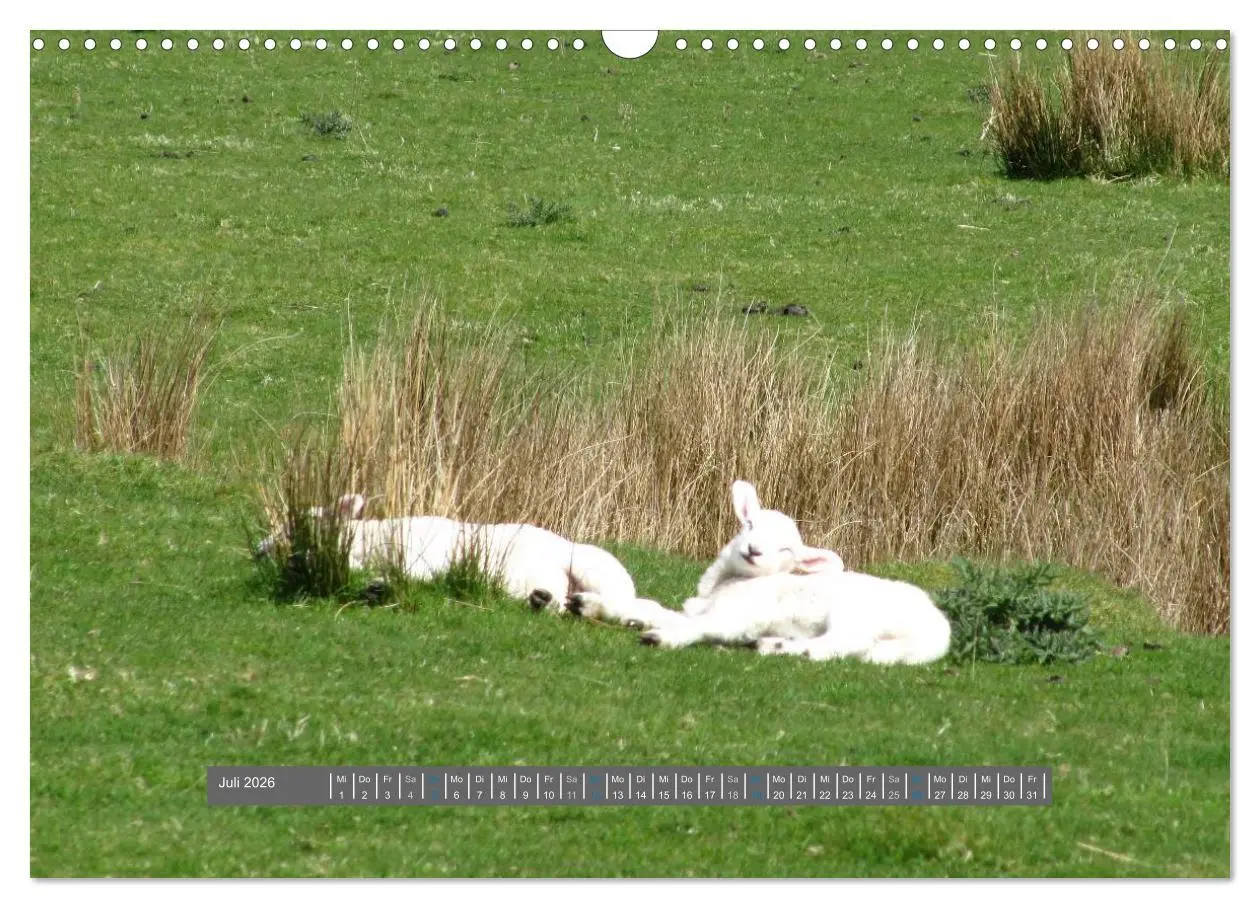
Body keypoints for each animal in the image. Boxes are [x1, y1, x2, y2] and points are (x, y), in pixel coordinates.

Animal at [639, 481, 952, 665]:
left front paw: (662, 637)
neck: (726, 583)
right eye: (749, 524)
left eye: (785, 550)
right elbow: (671, 612)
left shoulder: (743, 615)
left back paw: (787, 648)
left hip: (856, 615)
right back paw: (773, 644)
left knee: (842, 643)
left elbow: (703, 625)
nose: (753, 550)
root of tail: (937, 630)